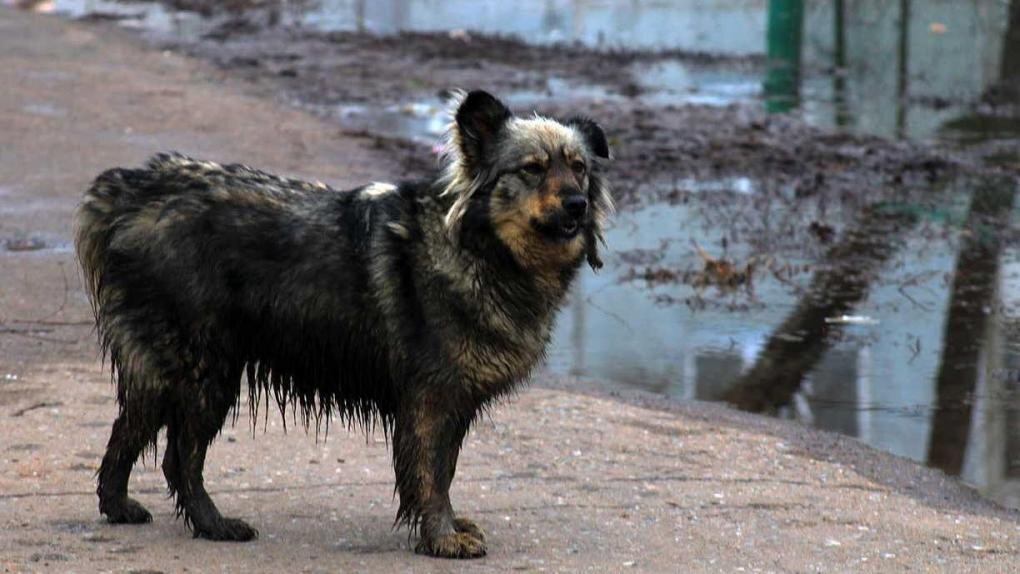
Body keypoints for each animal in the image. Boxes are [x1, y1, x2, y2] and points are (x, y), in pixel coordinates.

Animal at [75, 90, 612, 558]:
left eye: (579, 168)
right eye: (532, 169)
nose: (577, 204)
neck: (479, 248)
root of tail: (132, 190)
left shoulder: (452, 402)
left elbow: (444, 470)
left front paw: (446, 528)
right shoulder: (431, 399)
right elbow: (432, 476)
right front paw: (442, 538)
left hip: (179, 369)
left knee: (131, 430)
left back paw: (120, 507)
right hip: (203, 368)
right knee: (178, 455)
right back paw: (213, 524)